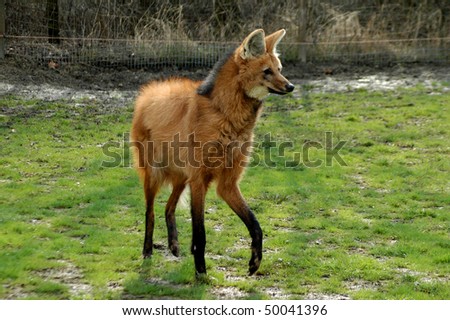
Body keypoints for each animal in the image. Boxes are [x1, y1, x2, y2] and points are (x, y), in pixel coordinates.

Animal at [130, 28, 294, 276]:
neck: (228, 116)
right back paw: (148, 251)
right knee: (150, 212)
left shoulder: (226, 183)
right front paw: (200, 271)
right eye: (267, 71)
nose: (290, 86)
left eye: (280, 70)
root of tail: (147, 93)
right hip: (155, 174)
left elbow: (255, 224)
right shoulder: (200, 179)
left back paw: (174, 245)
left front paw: (255, 261)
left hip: (182, 176)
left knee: (169, 207)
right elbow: (200, 231)